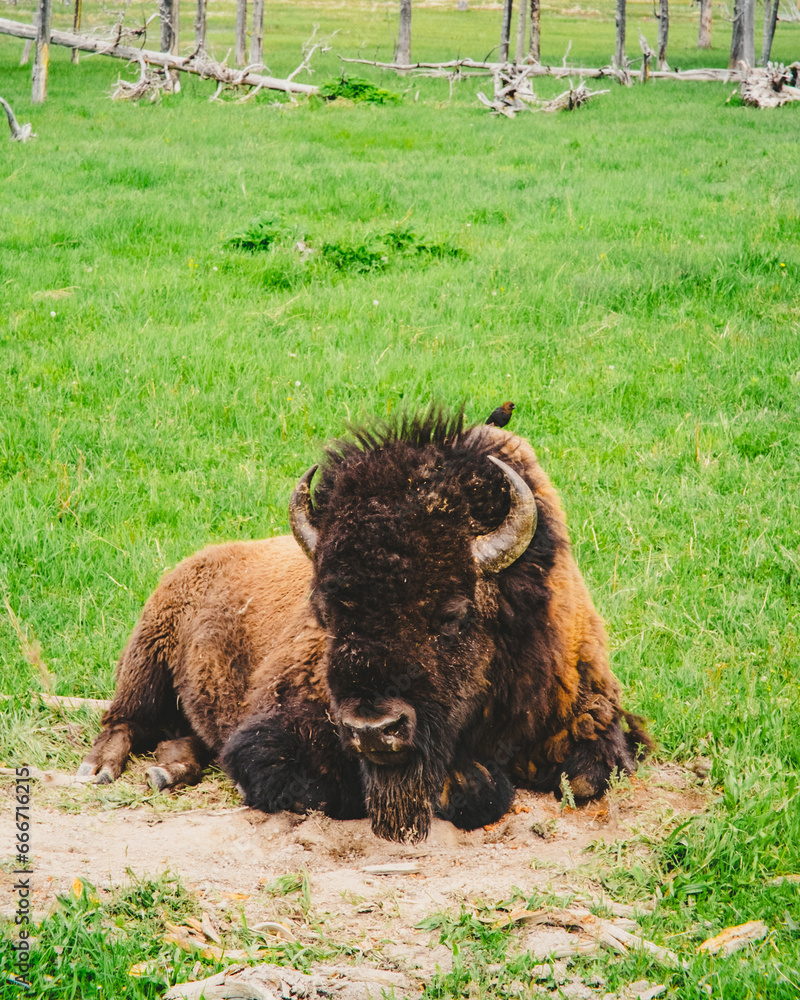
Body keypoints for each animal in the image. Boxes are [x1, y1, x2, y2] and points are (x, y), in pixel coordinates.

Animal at [79, 410, 650, 843]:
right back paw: (99, 770)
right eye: (328, 613)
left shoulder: (593, 721)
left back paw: (166, 770)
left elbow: (587, 780)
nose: (374, 729)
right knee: (121, 720)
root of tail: (189, 566)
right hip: (145, 665)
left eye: (451, 613)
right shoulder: (274, 737)